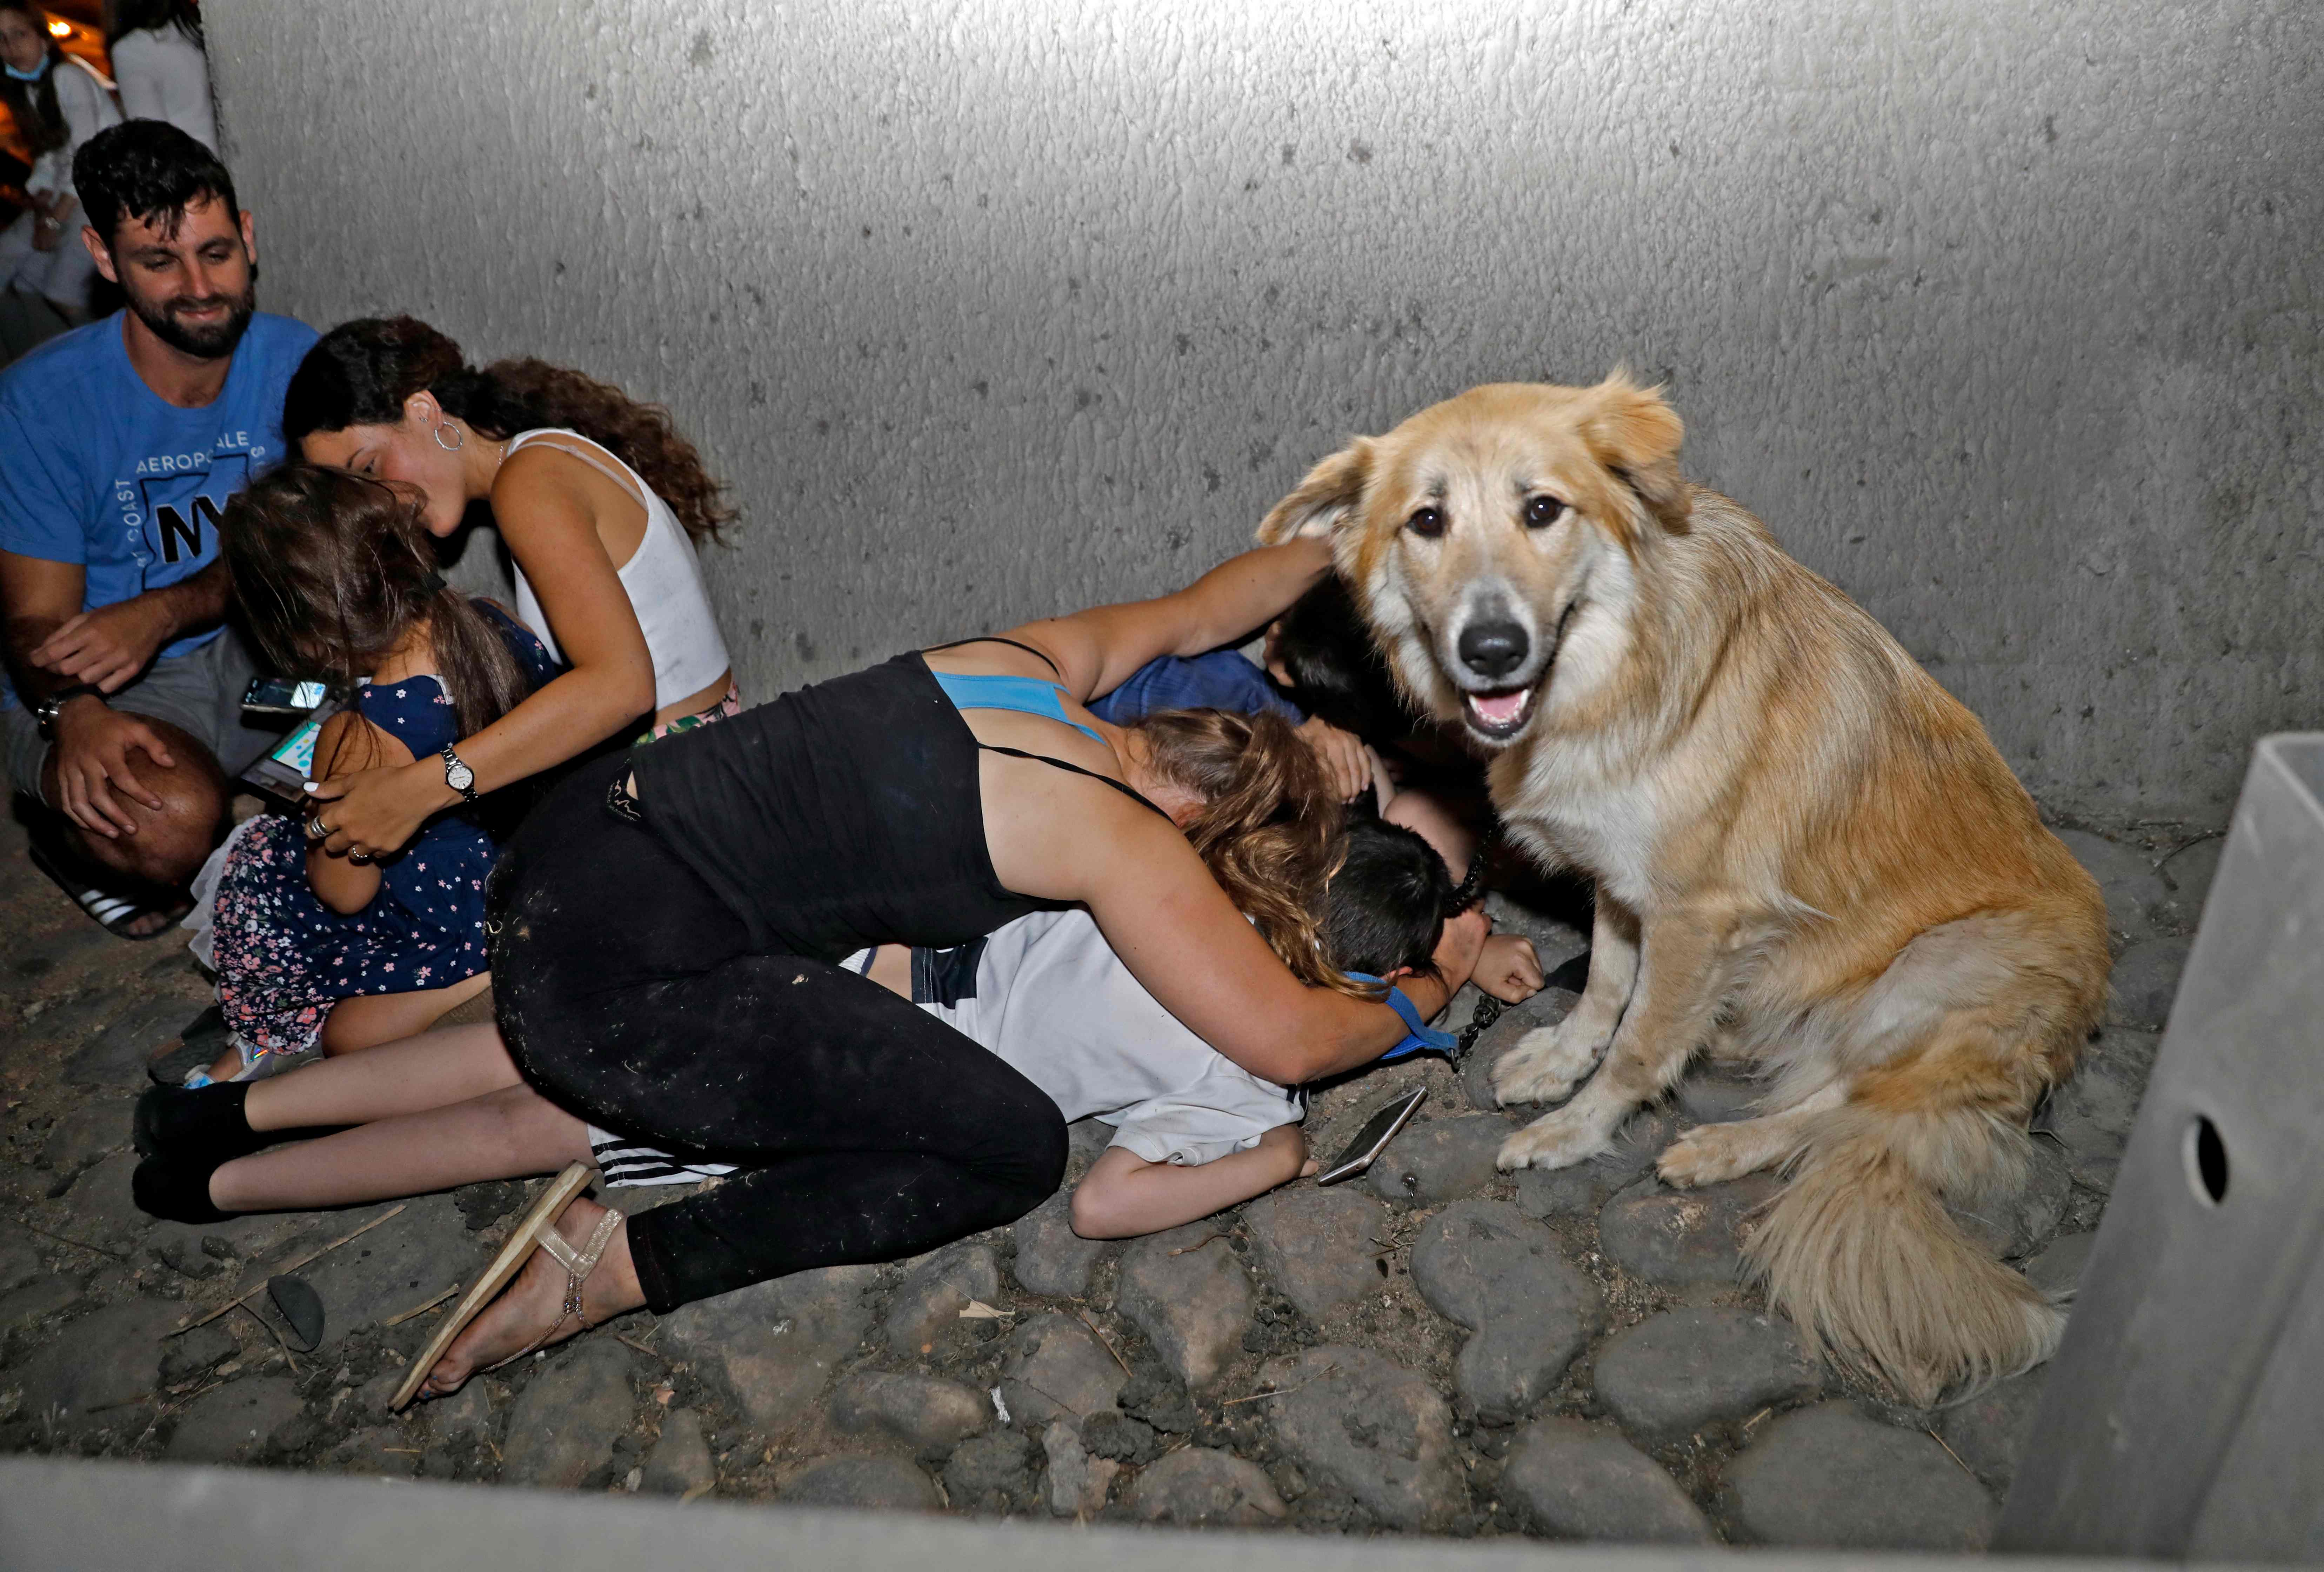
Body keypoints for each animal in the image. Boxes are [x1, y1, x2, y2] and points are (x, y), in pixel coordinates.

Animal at [1264, 377, 2119, 1404]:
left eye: (1542, 509)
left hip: (1940, 968)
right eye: (1426, 521)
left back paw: (1725, 1146)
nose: (1494, 648)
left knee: (1859, 1112)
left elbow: (1640, 1045)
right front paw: (1560, 1063)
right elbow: (1603, 989)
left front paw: (1576, 1130)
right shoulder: (1623, 885)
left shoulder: (1694, 917)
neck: (1613, 673)